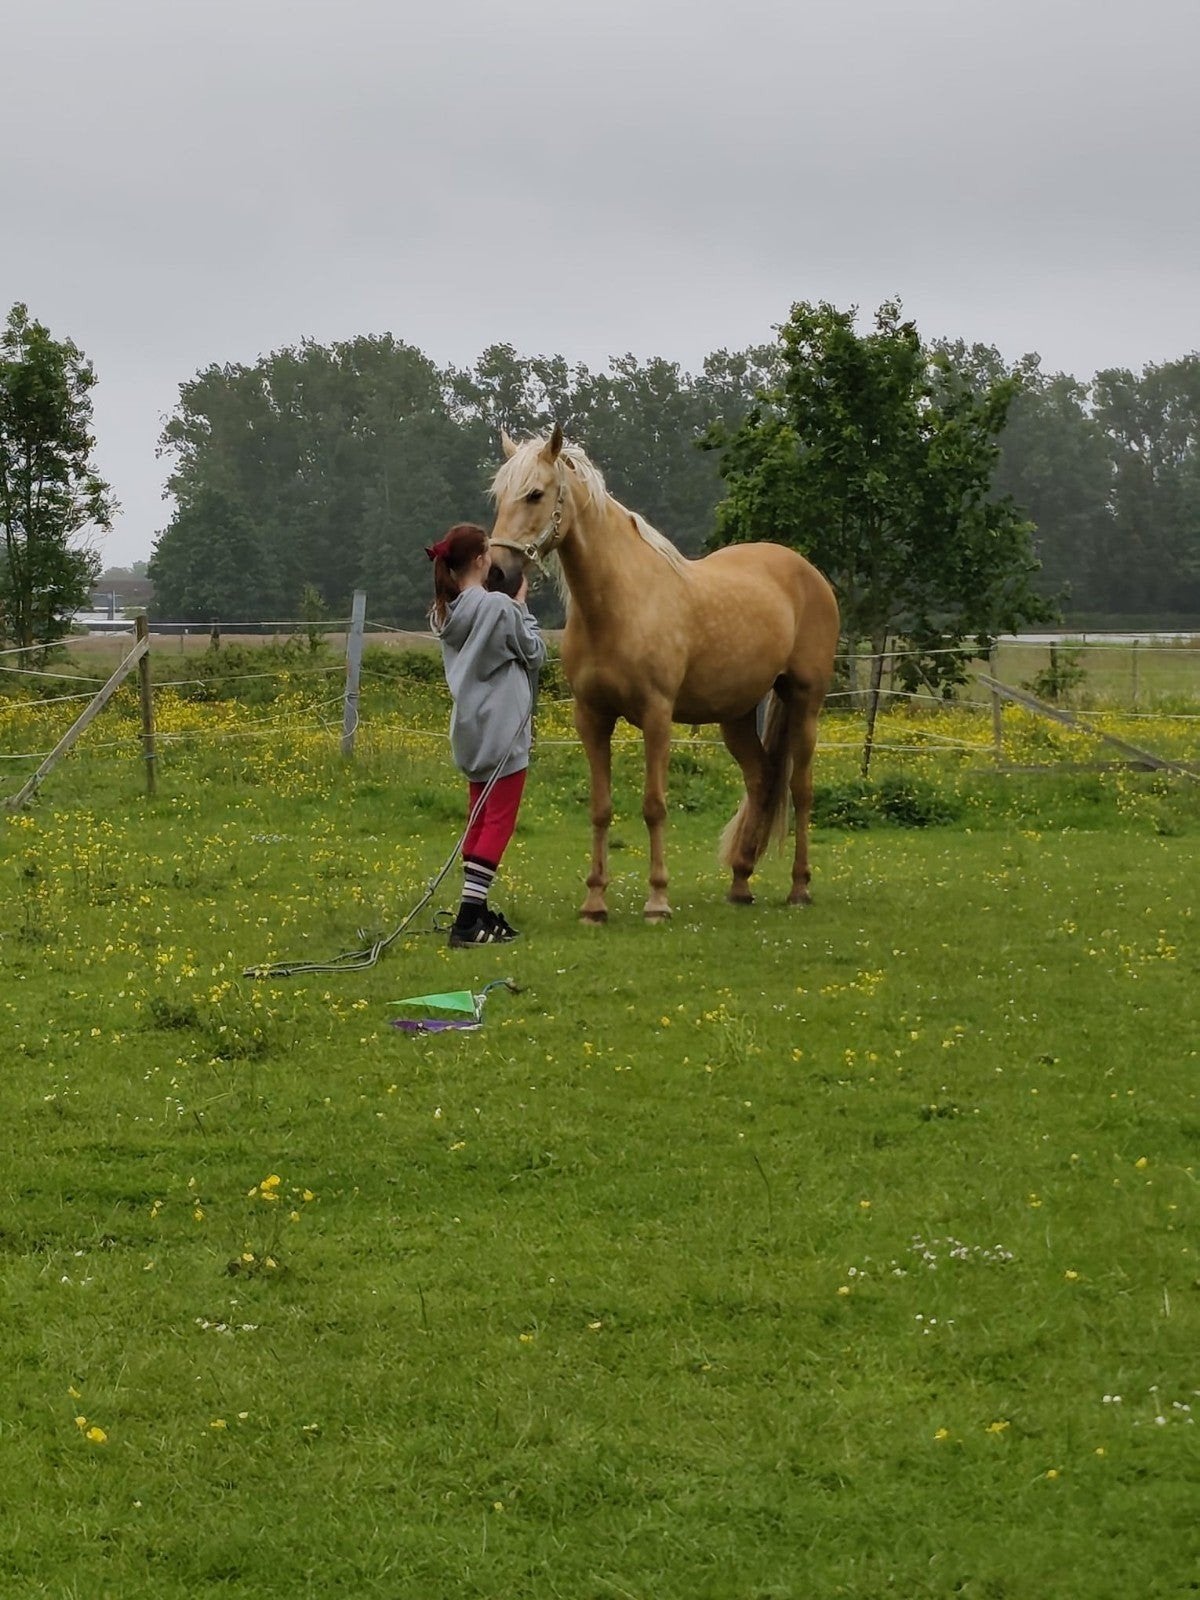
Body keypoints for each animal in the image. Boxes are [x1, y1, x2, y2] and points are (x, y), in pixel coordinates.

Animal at [488, 425, 840, 923]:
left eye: (535, 493)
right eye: (499, 495)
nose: (497, 573)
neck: (620, 604)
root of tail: (808, 572)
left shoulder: (657, 716)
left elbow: (654, 806)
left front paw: (657, 900)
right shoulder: (591, 718)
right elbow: (600, 808)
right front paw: (595, 902)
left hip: (806, 701)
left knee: (800, 788)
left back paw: (799, 887)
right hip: (736, 715)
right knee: (761, 780)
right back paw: (740, 882)